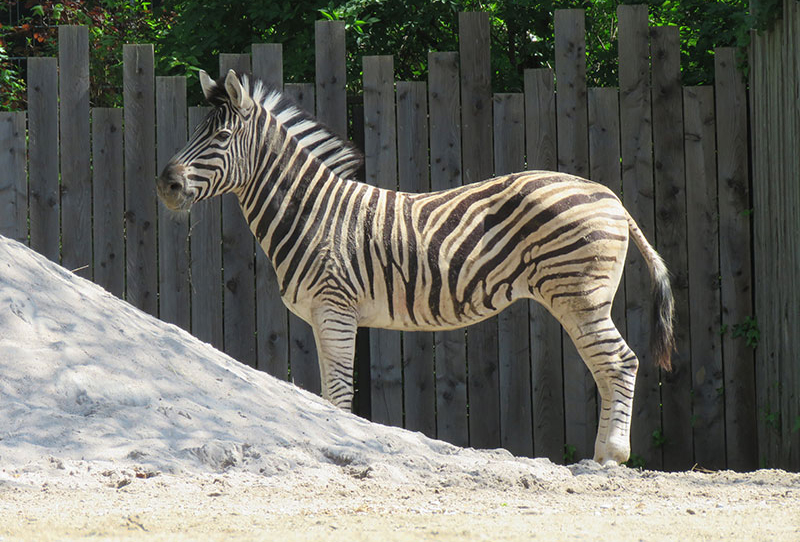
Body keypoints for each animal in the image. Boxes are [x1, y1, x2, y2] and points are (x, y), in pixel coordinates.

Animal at [155, 69, 668, 468]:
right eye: (195, 131)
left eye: (221, 138)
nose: (166, 185)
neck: (313, 212)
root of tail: (611, 198)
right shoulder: (326, 317)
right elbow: (327, 393)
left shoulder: (336, 311)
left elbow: (338, 393)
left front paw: (346, 446)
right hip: (579, 298)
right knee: (607, 365)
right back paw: (599, 456)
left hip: (579, 295)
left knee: (621, 361)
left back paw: (612, 455)